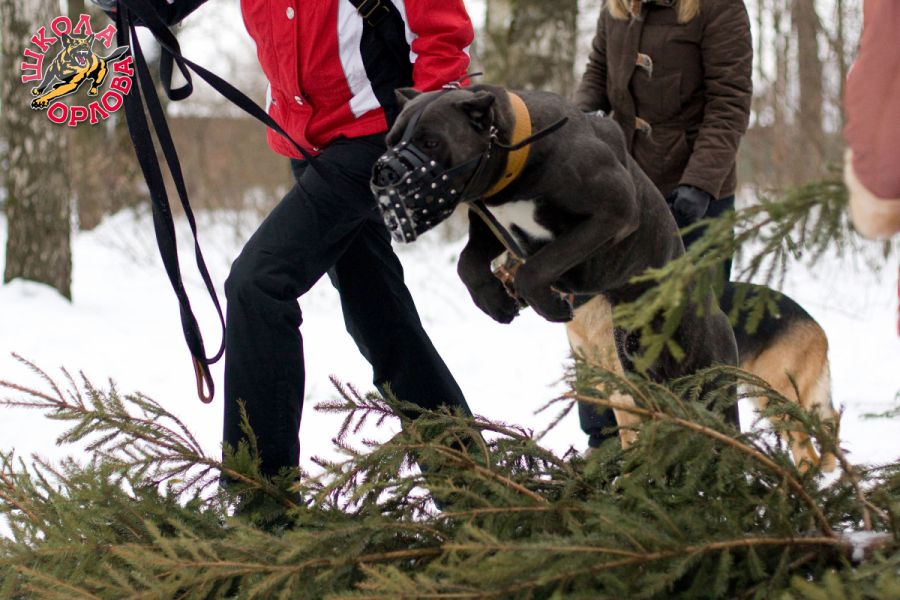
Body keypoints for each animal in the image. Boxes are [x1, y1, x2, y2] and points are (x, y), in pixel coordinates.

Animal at [373, 84, 838, 471]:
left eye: (431, 141)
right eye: (391, 140)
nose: (384, 173)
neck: (517, 162)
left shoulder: (613, 211)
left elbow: (541, 264)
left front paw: (545, 300)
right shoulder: (489, 223)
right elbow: (467, 263)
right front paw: (495, 299)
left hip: (732, 388)